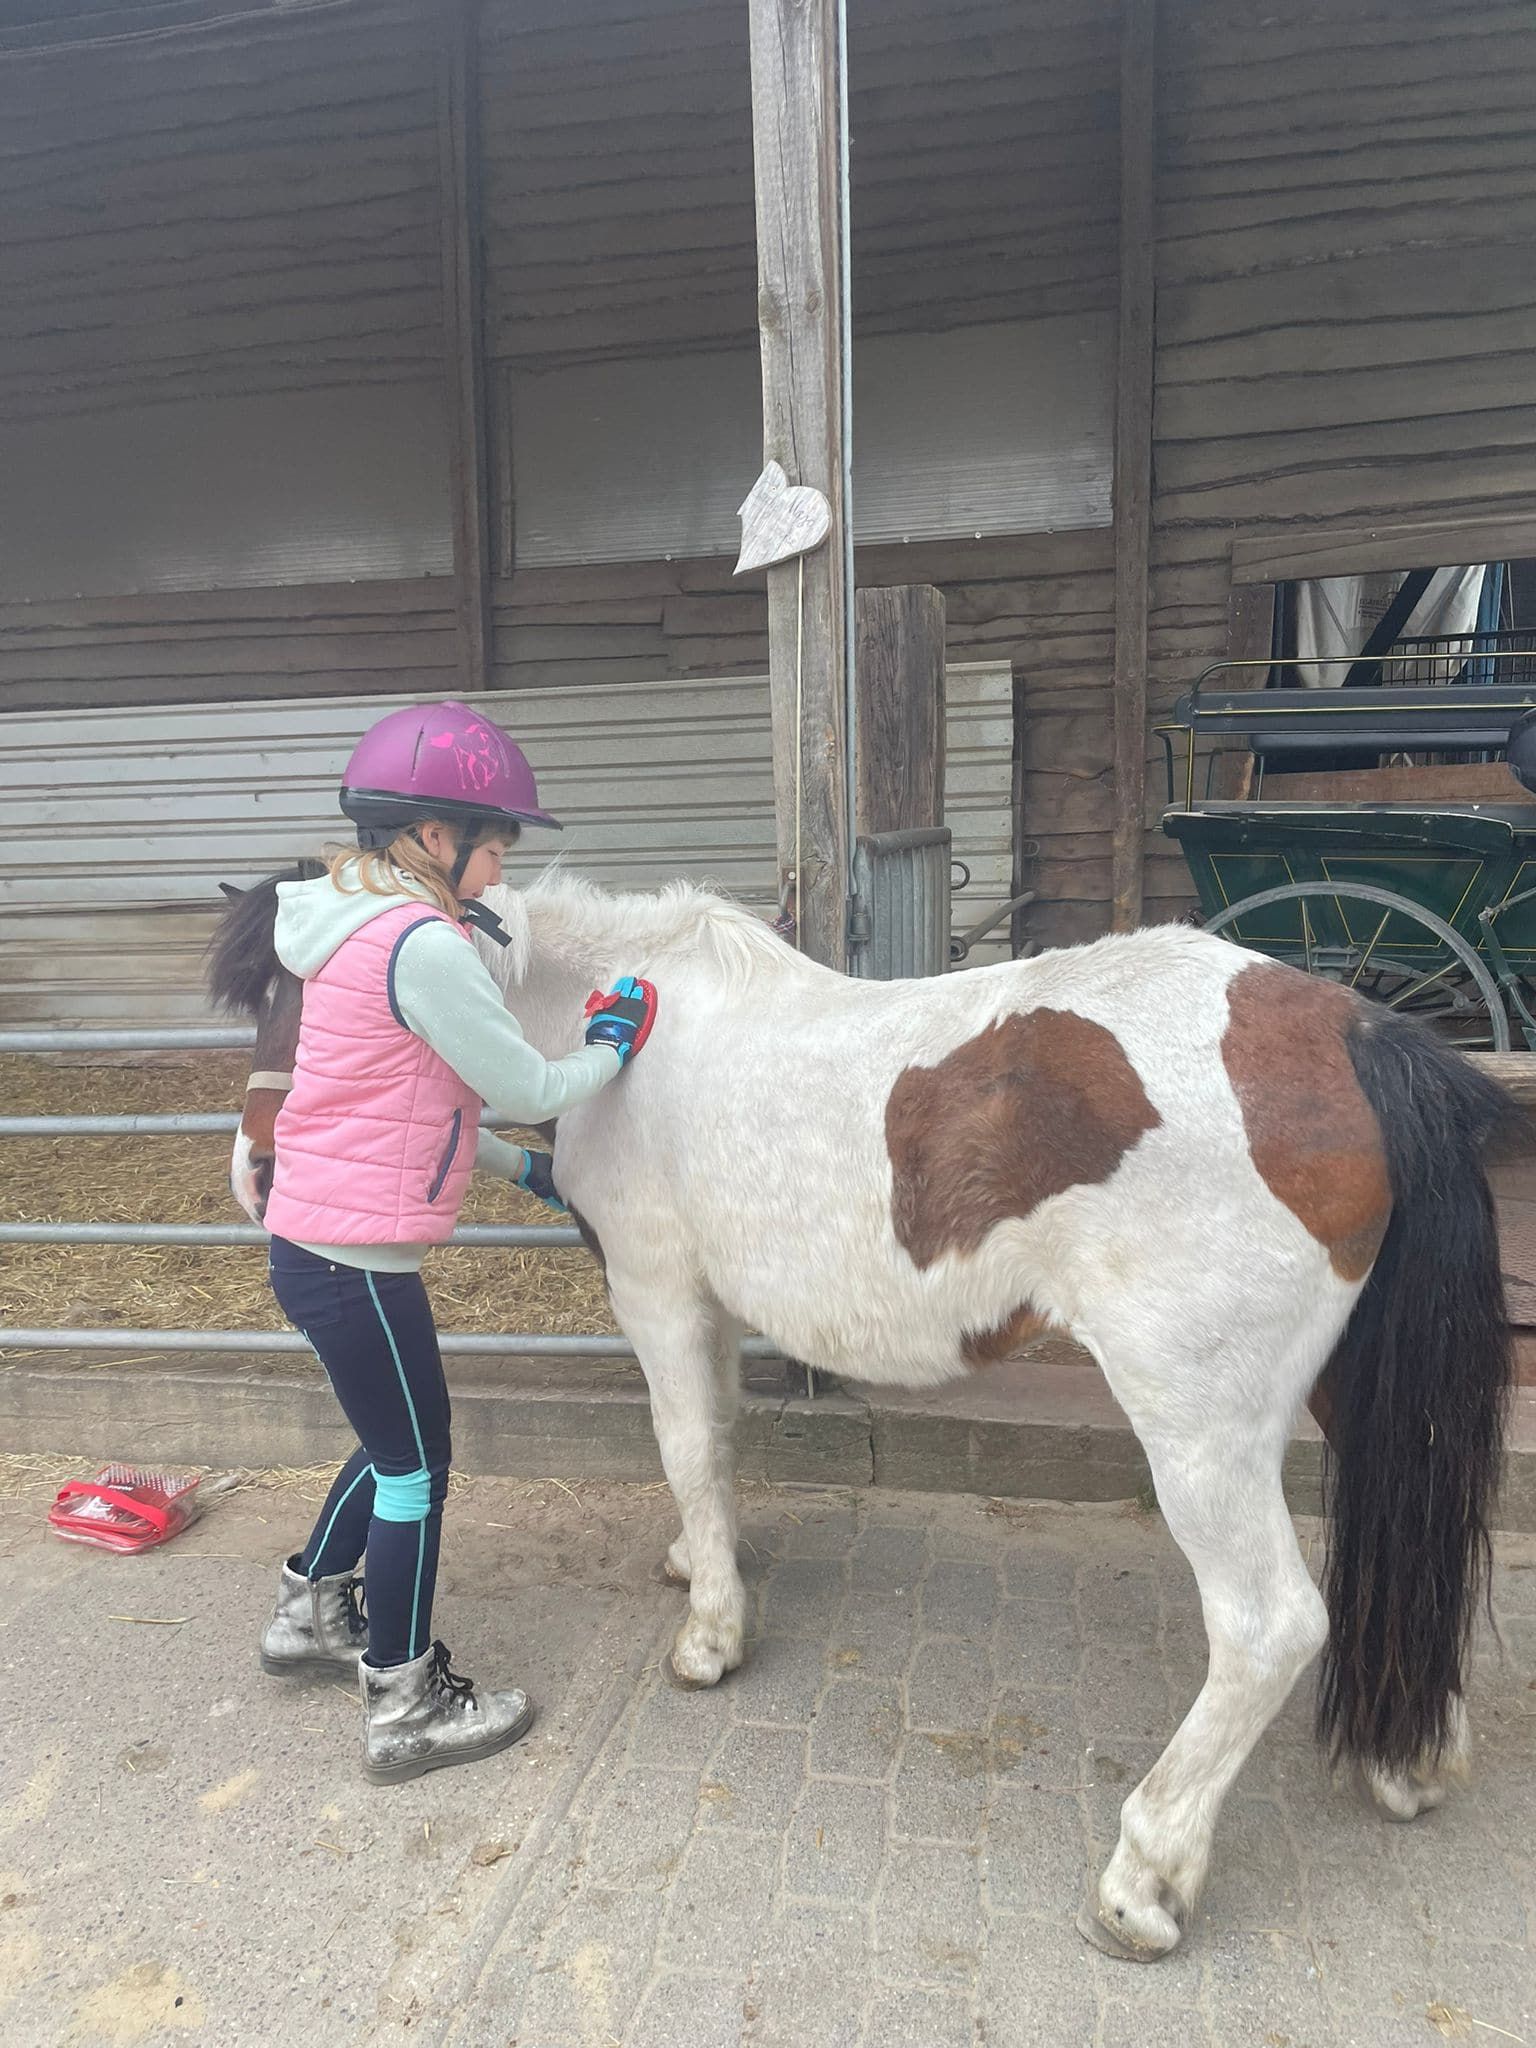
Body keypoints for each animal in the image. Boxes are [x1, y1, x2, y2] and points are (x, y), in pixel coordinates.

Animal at [214, 864, 1515, 1949]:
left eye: (341, 1001)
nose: (263, 1173)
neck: (632, 1020)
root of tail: (1351, 1026)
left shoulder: (657, 1292)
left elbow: (686, 1444)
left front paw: (712, 1636)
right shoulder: (708, 1303)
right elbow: (718, 1442)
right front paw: (702, 1562)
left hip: (1199, 1429)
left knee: (1268, 1626)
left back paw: (1146, 1873)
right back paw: (1413, 1756)